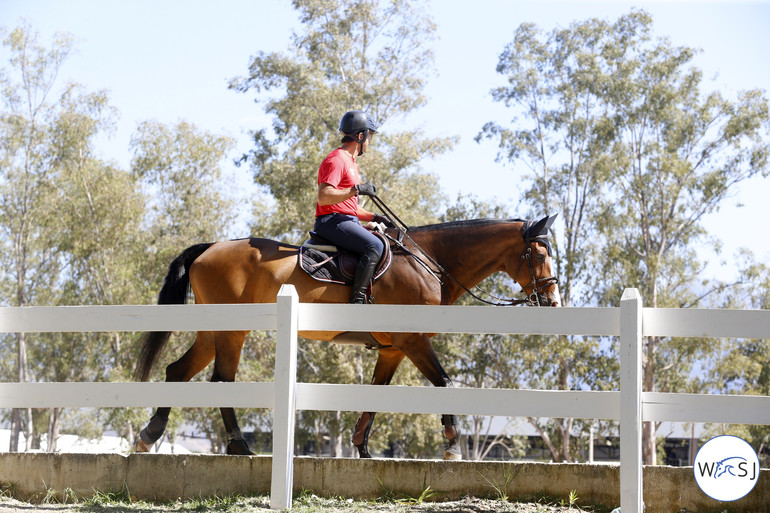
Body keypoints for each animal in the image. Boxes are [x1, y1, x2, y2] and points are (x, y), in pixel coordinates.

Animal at [134, 212, 560, 460]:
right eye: (539, 254)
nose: (553, 301)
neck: (427, 262)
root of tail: (211, 248)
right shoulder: (413, 341)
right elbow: (443, 382)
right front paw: (453, 446)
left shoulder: (392, 349)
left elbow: (374, 396)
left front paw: (362, 448)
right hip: (231, 331)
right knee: (221, 380)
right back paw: (238, 445)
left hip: (213, 331)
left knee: (177, 372)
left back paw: (149, 435)